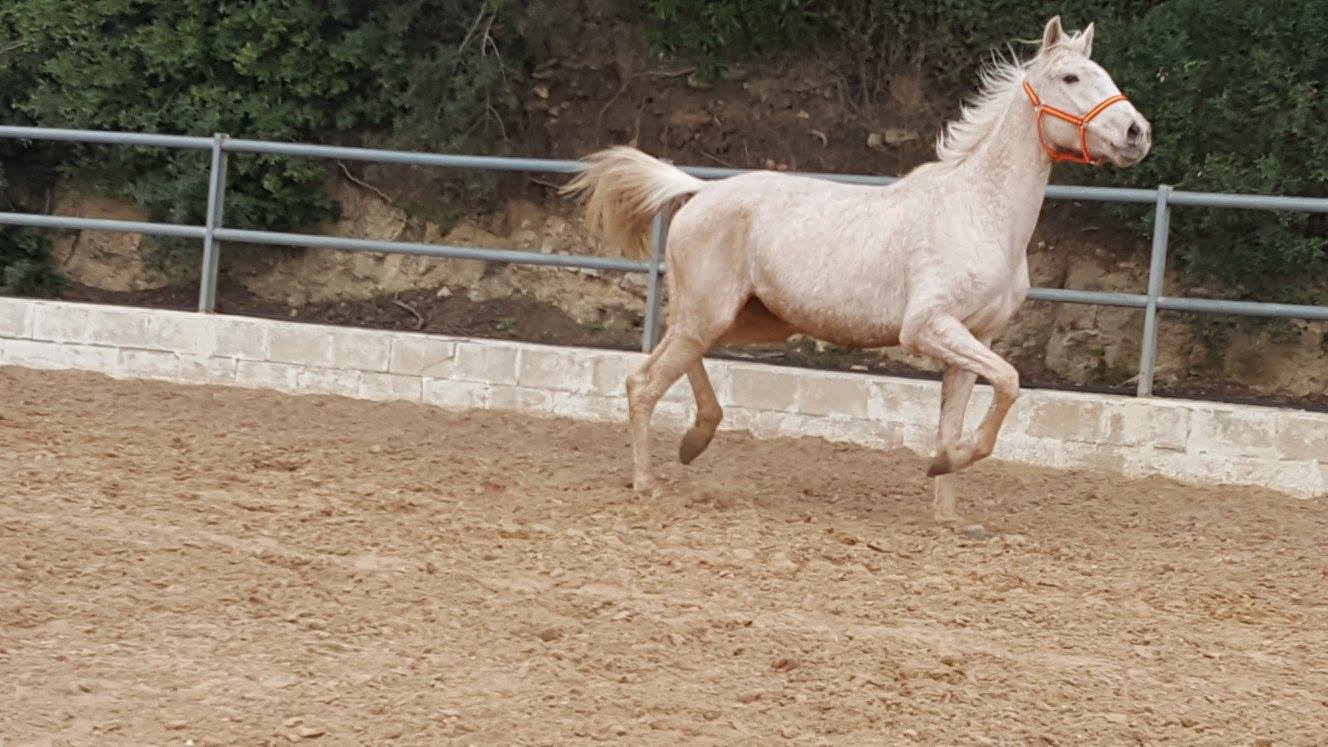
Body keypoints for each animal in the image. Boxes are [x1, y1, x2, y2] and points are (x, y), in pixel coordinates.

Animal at [562, 17, 1151, 528]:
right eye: (1071, 77)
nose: (1136, 132)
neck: (980, 213)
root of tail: (700, 190)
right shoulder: (929, 328)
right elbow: (1009, 382)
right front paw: (944, 464)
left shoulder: (973, 338)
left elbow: (960, 418)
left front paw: (948, 511)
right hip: (712, 314)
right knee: (643, 382)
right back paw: (648, 482)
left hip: (738, 319)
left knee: (673, 359)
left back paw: (696, 439)